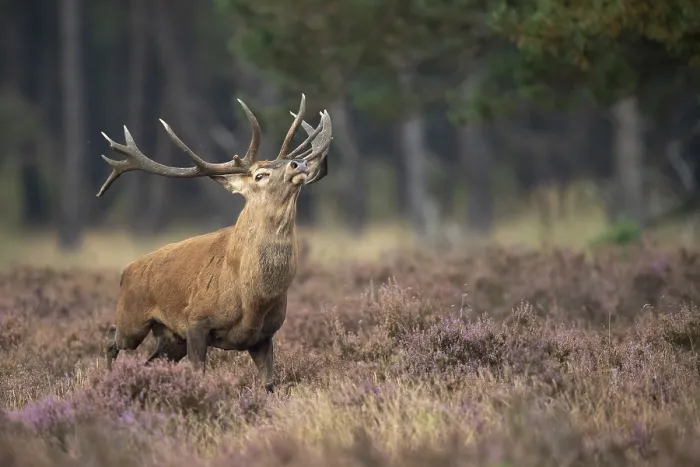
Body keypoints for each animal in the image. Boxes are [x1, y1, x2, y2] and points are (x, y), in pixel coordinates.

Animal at [98, 94, 332, 393]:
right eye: (259, 175)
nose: (299, 164)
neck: (253, 299)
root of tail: (126, 271)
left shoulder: (264, 336)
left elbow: (269, 384)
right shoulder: (196, 321)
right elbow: (199, 374)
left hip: (171, 338)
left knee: (148, 361)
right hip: (133, 319)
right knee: (111, 338)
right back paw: (108, 380)